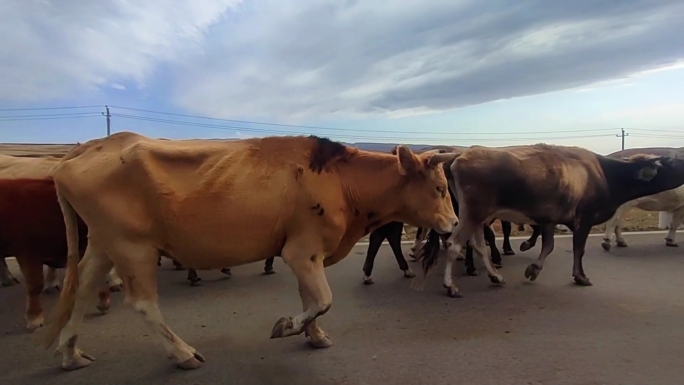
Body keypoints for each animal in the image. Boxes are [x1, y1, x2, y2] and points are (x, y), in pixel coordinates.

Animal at [33, 131, 460, 368]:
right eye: (440, 188)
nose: (455, 224)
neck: (342, 180)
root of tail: (88, 148)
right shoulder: (301, 250)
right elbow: (322, 299)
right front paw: (288, 327)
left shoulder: (305, 252)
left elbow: (311, 298)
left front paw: (314, 334)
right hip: (132, 246)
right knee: (142, 304)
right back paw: (183, 354)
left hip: (103, 243)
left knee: (82, 289)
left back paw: (70, 354)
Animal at [414, 142, 684, 296]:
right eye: (671, 162)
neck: (602, 173)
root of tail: (458, 156)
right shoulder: (583, 219)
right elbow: (578, 249)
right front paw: (580, 276)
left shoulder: (548, 220)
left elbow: (548, 246)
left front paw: (533, 267)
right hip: (473, 213)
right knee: (454, 244)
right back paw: (451, 286)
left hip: (477, 216)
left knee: (478, 245)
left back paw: (495, 276)